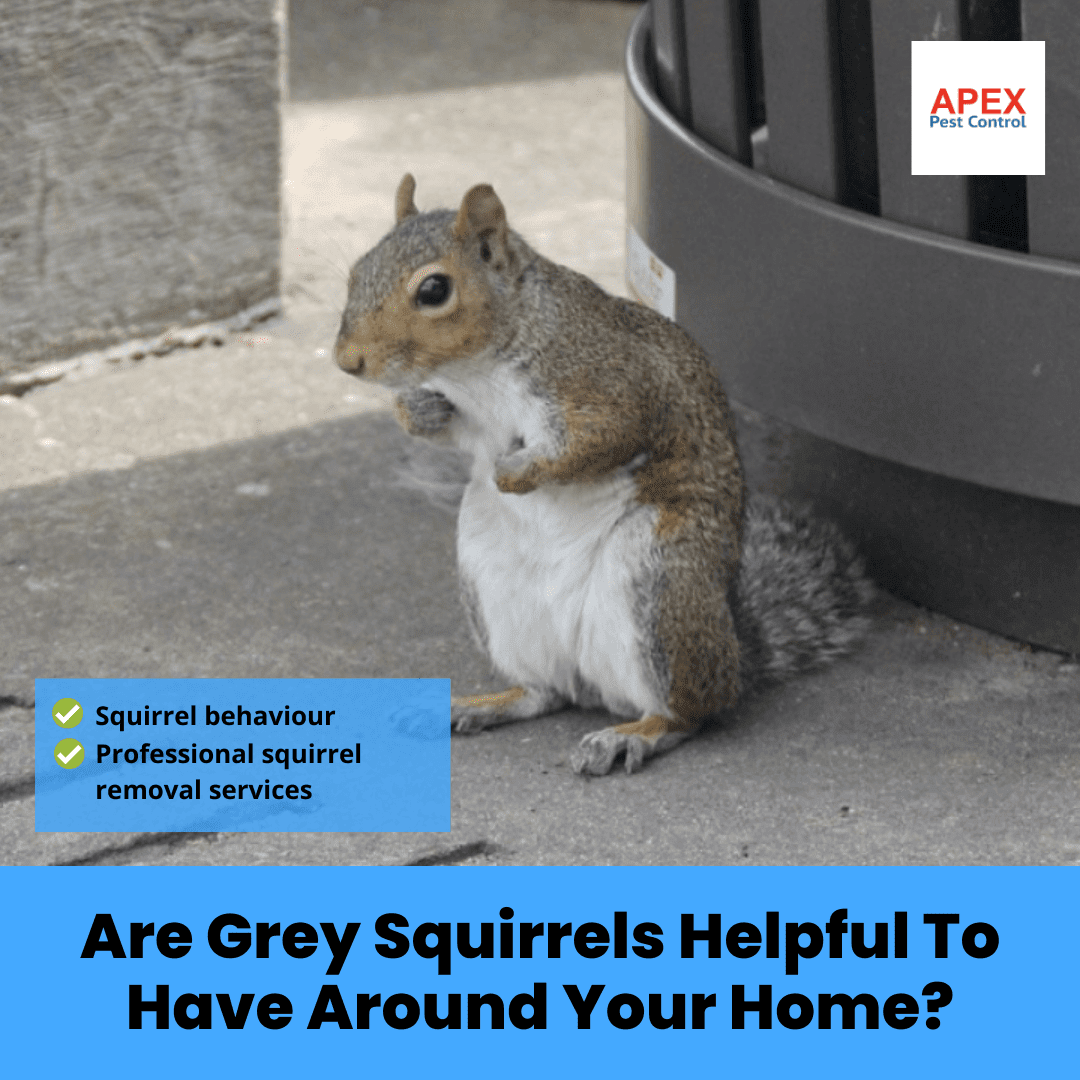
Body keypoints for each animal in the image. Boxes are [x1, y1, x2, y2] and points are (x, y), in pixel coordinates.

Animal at [333, 174, 873, 775]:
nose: (347, 360)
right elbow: (445, 429)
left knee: (690, 714)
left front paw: (518, 472)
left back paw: (631, 735)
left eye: (433, 290)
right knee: (544, 693)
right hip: (492, 583)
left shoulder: (615, 385)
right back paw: (484, 703)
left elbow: (602, 440)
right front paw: (420, 410)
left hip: (661, 584)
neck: (476, 368)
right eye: (357, 269)